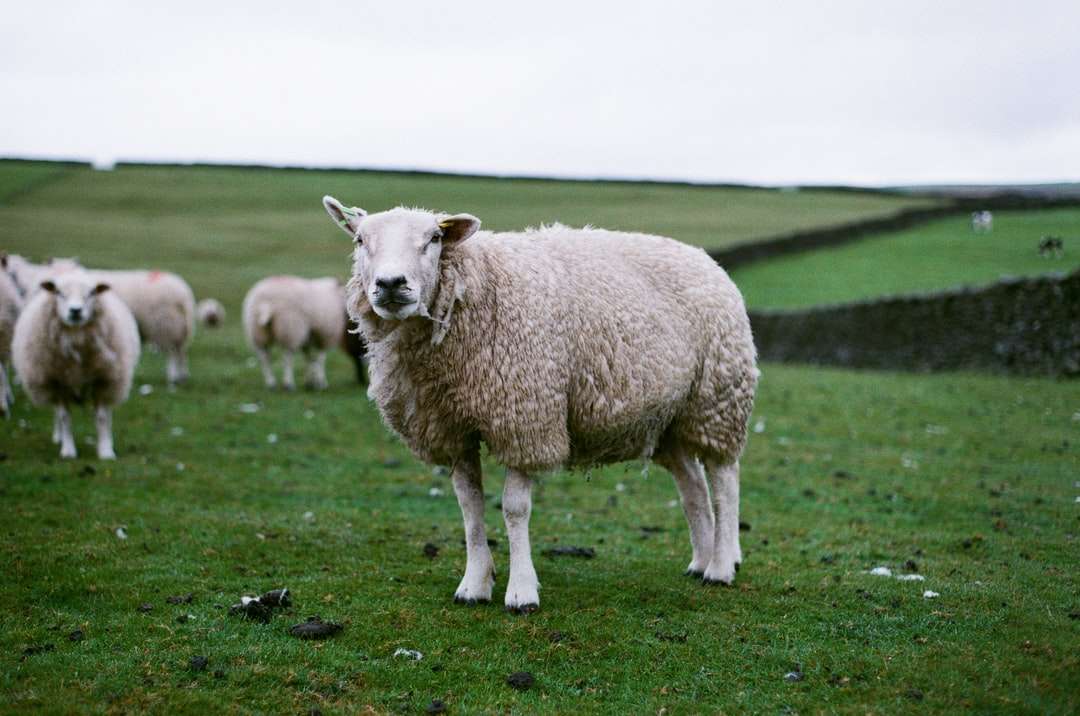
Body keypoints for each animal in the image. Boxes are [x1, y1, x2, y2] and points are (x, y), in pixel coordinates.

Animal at [12, 268, 141, 460]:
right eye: (59, 292)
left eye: (92, 293)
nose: (75, 311)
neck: (75, 336)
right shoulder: (57, 382)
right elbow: (64, 416)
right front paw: (68, 450)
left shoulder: (102, 380)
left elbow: (102, 417)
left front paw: (106, 451)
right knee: (57, 414)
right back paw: (58, 437)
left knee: (107, 413)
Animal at [321, 198, 760, 613]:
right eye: (359, 240)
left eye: (434, 238)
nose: (391, 283)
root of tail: (704, 258)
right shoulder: (452, 429)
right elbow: (469, 505)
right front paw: (474, 584)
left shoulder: (524, 415)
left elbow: (515, 509)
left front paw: (521, 592)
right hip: (667, 418)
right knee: (693, 487)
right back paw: (700, 561)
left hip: (718, 399)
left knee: (724, 481)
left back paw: (721, 566)